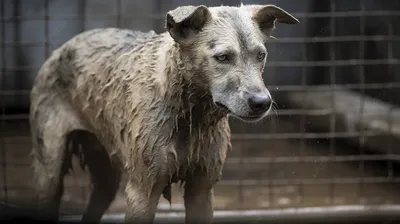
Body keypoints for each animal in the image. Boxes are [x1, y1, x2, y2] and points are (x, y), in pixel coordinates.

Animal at [29, 3, 298, 224]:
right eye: (222, 57)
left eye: (261, 55)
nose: (262, 102)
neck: (190, 114)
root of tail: (62, 48)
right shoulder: (142, 194)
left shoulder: (201, 191)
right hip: (49, 173)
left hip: (106, 177)